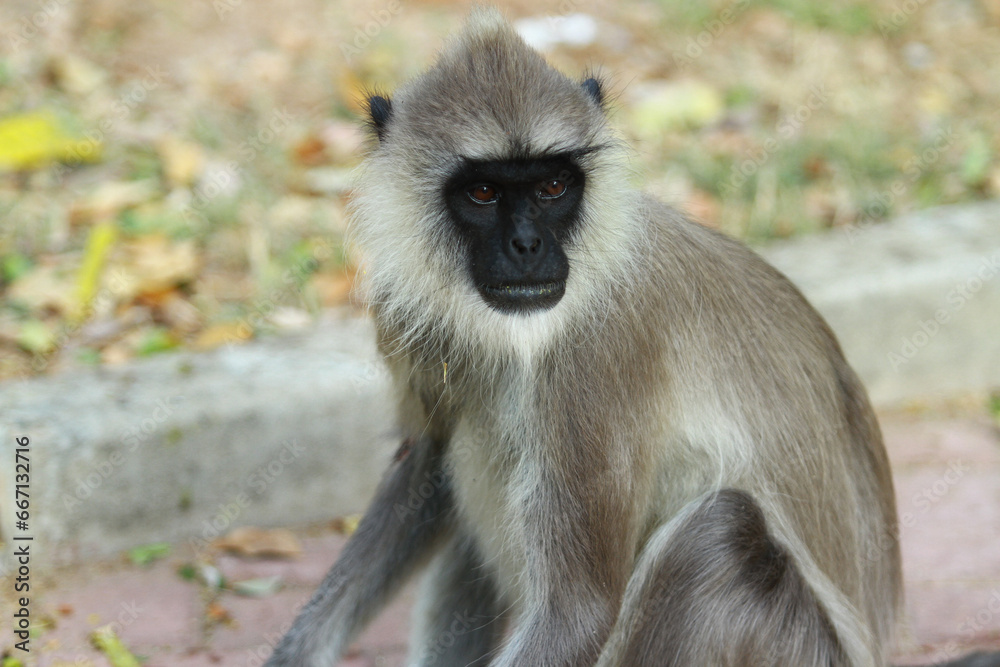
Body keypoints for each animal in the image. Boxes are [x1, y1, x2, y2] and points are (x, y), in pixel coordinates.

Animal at [264, 9, 1000, 667]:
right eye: (482, 193)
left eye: (552, 185)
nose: (527, 246)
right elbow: (426, 459)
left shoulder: (595, 347)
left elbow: (579, 612)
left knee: (719, 533)